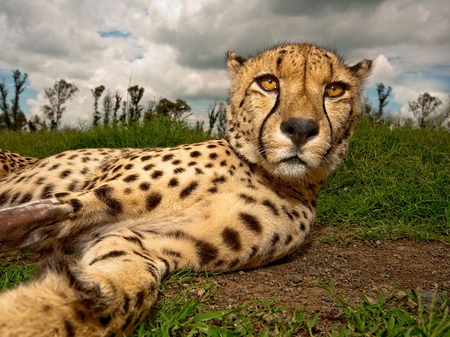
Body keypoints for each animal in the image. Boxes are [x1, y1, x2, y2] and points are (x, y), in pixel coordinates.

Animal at [0, 43, 370, 334]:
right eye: (268, 82)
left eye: (335, 90)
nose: (301, 128)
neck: (261, 172)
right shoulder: (89, 197)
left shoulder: (144, 244)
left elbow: (121, 296)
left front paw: (30, 313)